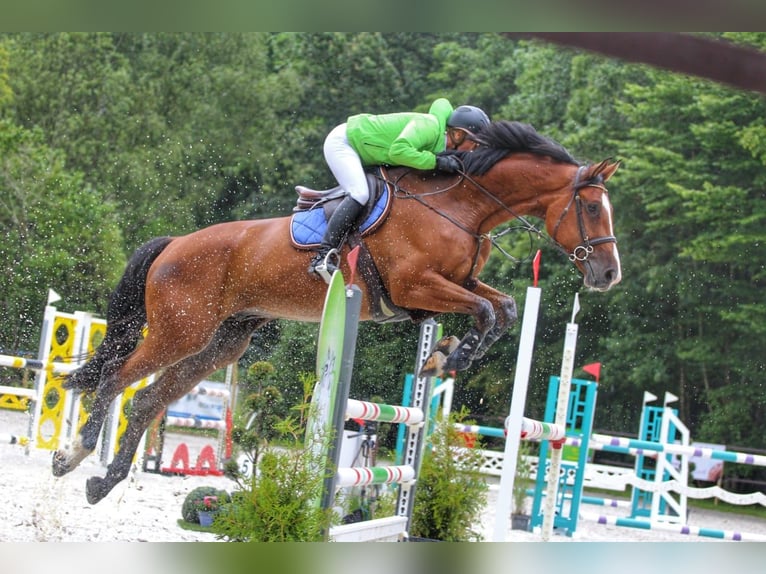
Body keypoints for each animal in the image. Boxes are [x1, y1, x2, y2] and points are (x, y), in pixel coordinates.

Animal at [51, 121, 620, 504]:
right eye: (593, 208)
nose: (608, 275)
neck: (462, 206)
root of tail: (173, 245)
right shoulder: (418, 285)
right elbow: (487, 309)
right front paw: (448, 356)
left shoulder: (446, 286)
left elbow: (502, 307)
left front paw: (444, 355)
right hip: (180, 332)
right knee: (116, 379)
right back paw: (74, 453)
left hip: (222, 343)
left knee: (147, 400)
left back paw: (103, 481)